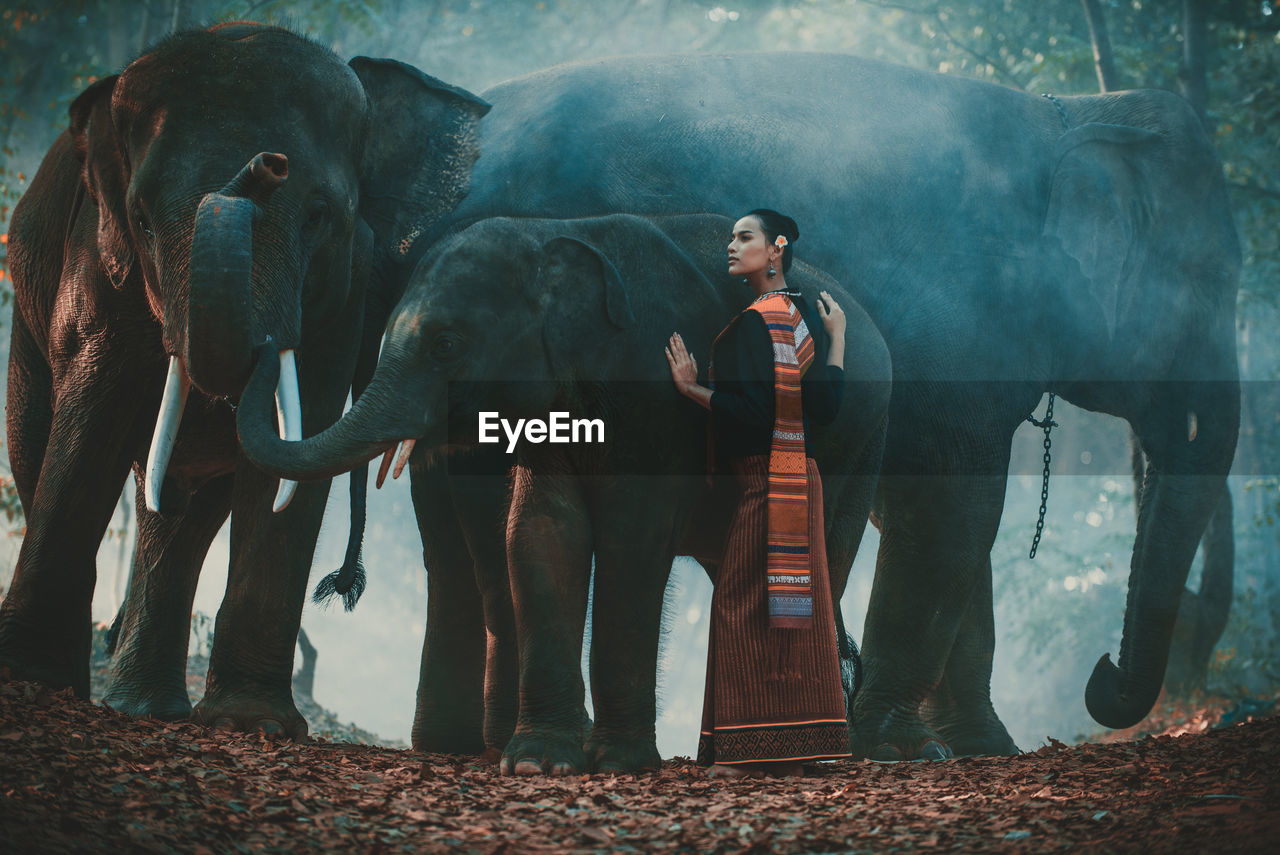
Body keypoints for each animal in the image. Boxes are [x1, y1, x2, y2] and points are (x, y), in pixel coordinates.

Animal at [0, 23, 488, 737]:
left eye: (317, 216)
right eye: (141, 218)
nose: (266, 165)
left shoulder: (339, 298)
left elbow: (298, 445)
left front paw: (251, 723)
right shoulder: (97, 264)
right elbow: (92, 420)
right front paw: (31, 683)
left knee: (183, 516)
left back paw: (148, 704)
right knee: (45, 451)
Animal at [238, 213, 890, 773]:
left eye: (446, 344)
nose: (268, 342)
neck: (555, 233)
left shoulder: (656, 402)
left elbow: (634, 539)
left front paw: (620, 765)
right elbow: (542, 533)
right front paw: (538, 764)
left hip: (855, 450)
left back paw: (793, 759)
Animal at [293, 50, 1239, 762]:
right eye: (1209, 286)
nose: (1103, 673)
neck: (1070, 113)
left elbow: (938, 512)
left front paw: (976, 748)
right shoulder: (969, 314)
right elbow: (953, 508)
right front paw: (900, 745)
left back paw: (460, 742)